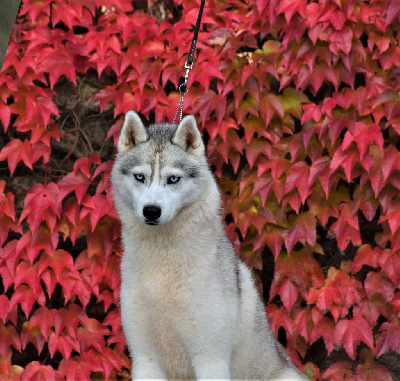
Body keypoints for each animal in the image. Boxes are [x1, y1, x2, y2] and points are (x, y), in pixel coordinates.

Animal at [111, 111, 304, 378]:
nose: (151, 211)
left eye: (173, 179)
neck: (165, 268)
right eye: (140, 177)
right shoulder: (145, 357)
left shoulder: (211, 357)